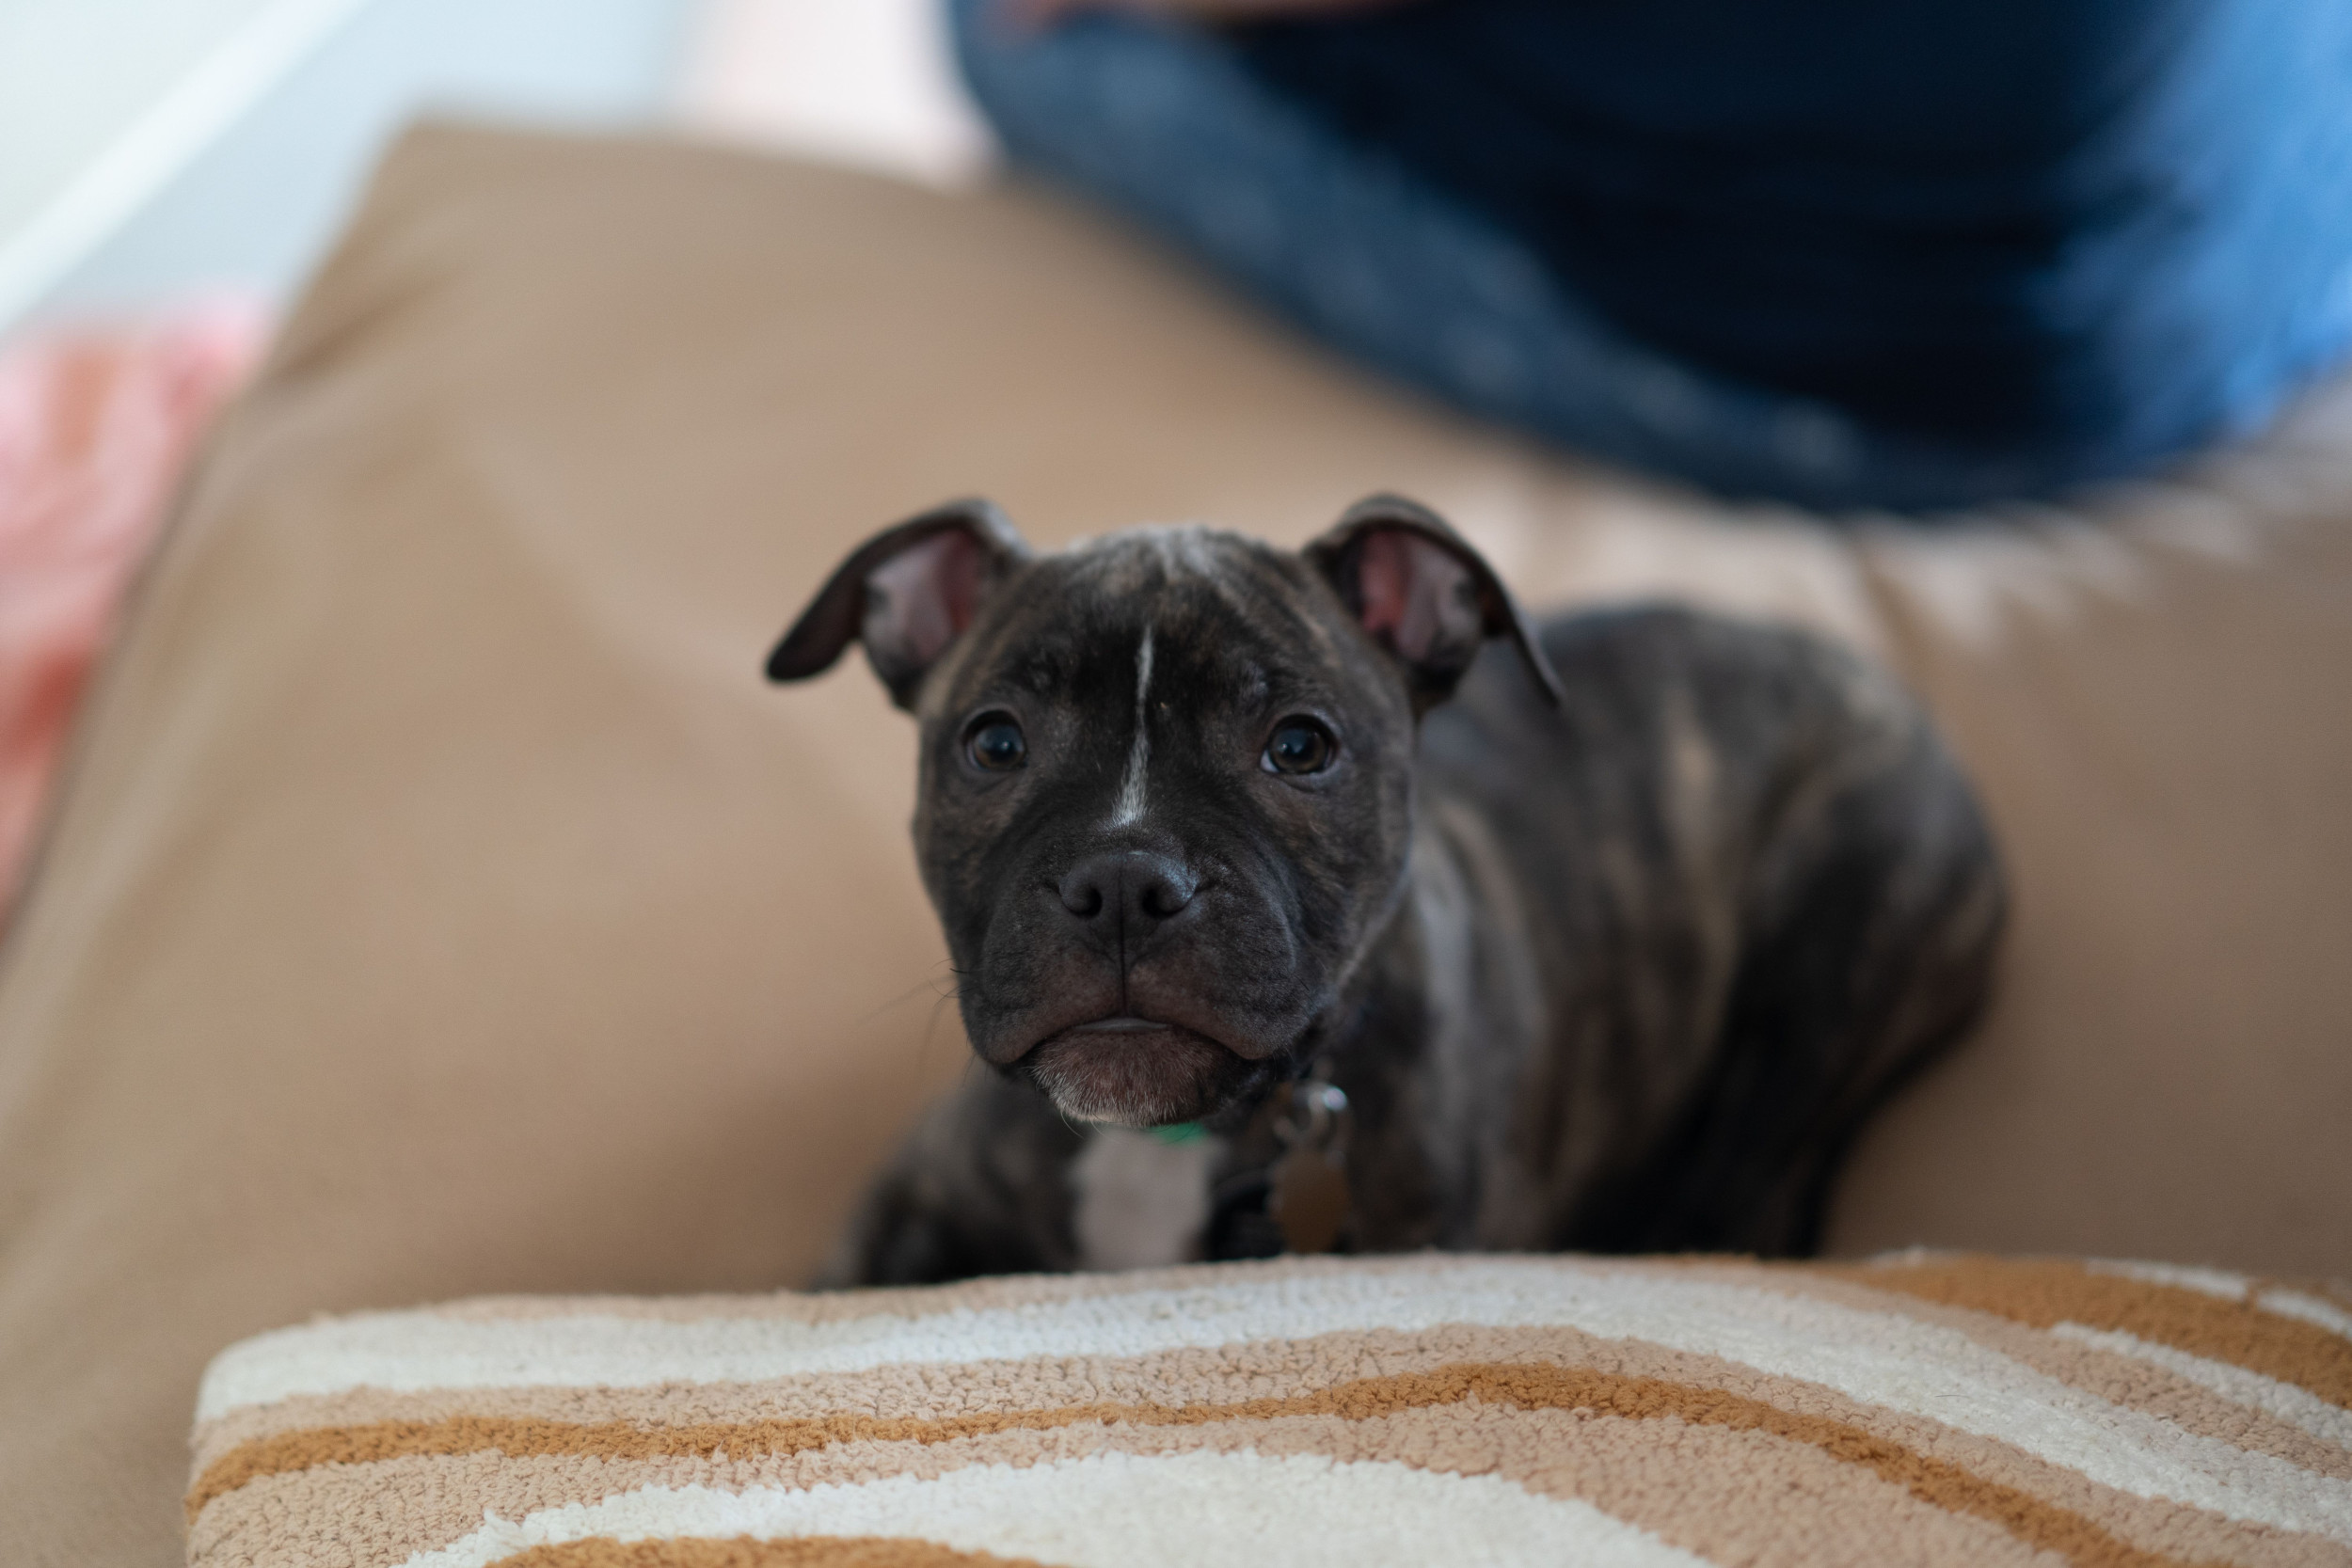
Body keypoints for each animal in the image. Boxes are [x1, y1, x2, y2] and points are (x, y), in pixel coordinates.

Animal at [776, 493, 2004, 1288]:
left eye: (1299, 746)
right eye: (993, 743)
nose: (1124, 878)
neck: (1168, 1143)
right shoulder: (900, 1215)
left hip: (1834, 949)